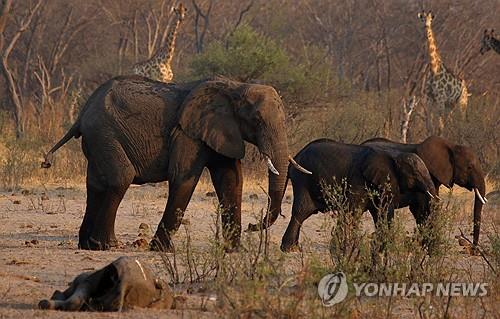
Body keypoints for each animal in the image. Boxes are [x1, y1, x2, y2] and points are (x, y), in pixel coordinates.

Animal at [43, 76, 310, 251]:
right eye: (256, 120)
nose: (254, 225)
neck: (235, 86)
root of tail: (82, 113)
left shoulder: (221, 131)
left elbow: (231, 181)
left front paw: (234, 251)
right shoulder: (187, 133)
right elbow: (183, 179)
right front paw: (161, 250)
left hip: (98, 138)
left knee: (96, 184)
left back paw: (87, 245)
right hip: (104, 133)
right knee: (120, 178)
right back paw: (107, 246)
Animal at [282, 139, 438, 252]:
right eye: (416, 174)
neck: (393, 155)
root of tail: (295, 156)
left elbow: (381, 213)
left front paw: (382, 247)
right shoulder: (359, 179)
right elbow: (354, 211)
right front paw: (342, 249)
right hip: (302, 179)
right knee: (301, 211)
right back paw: (290, 249)